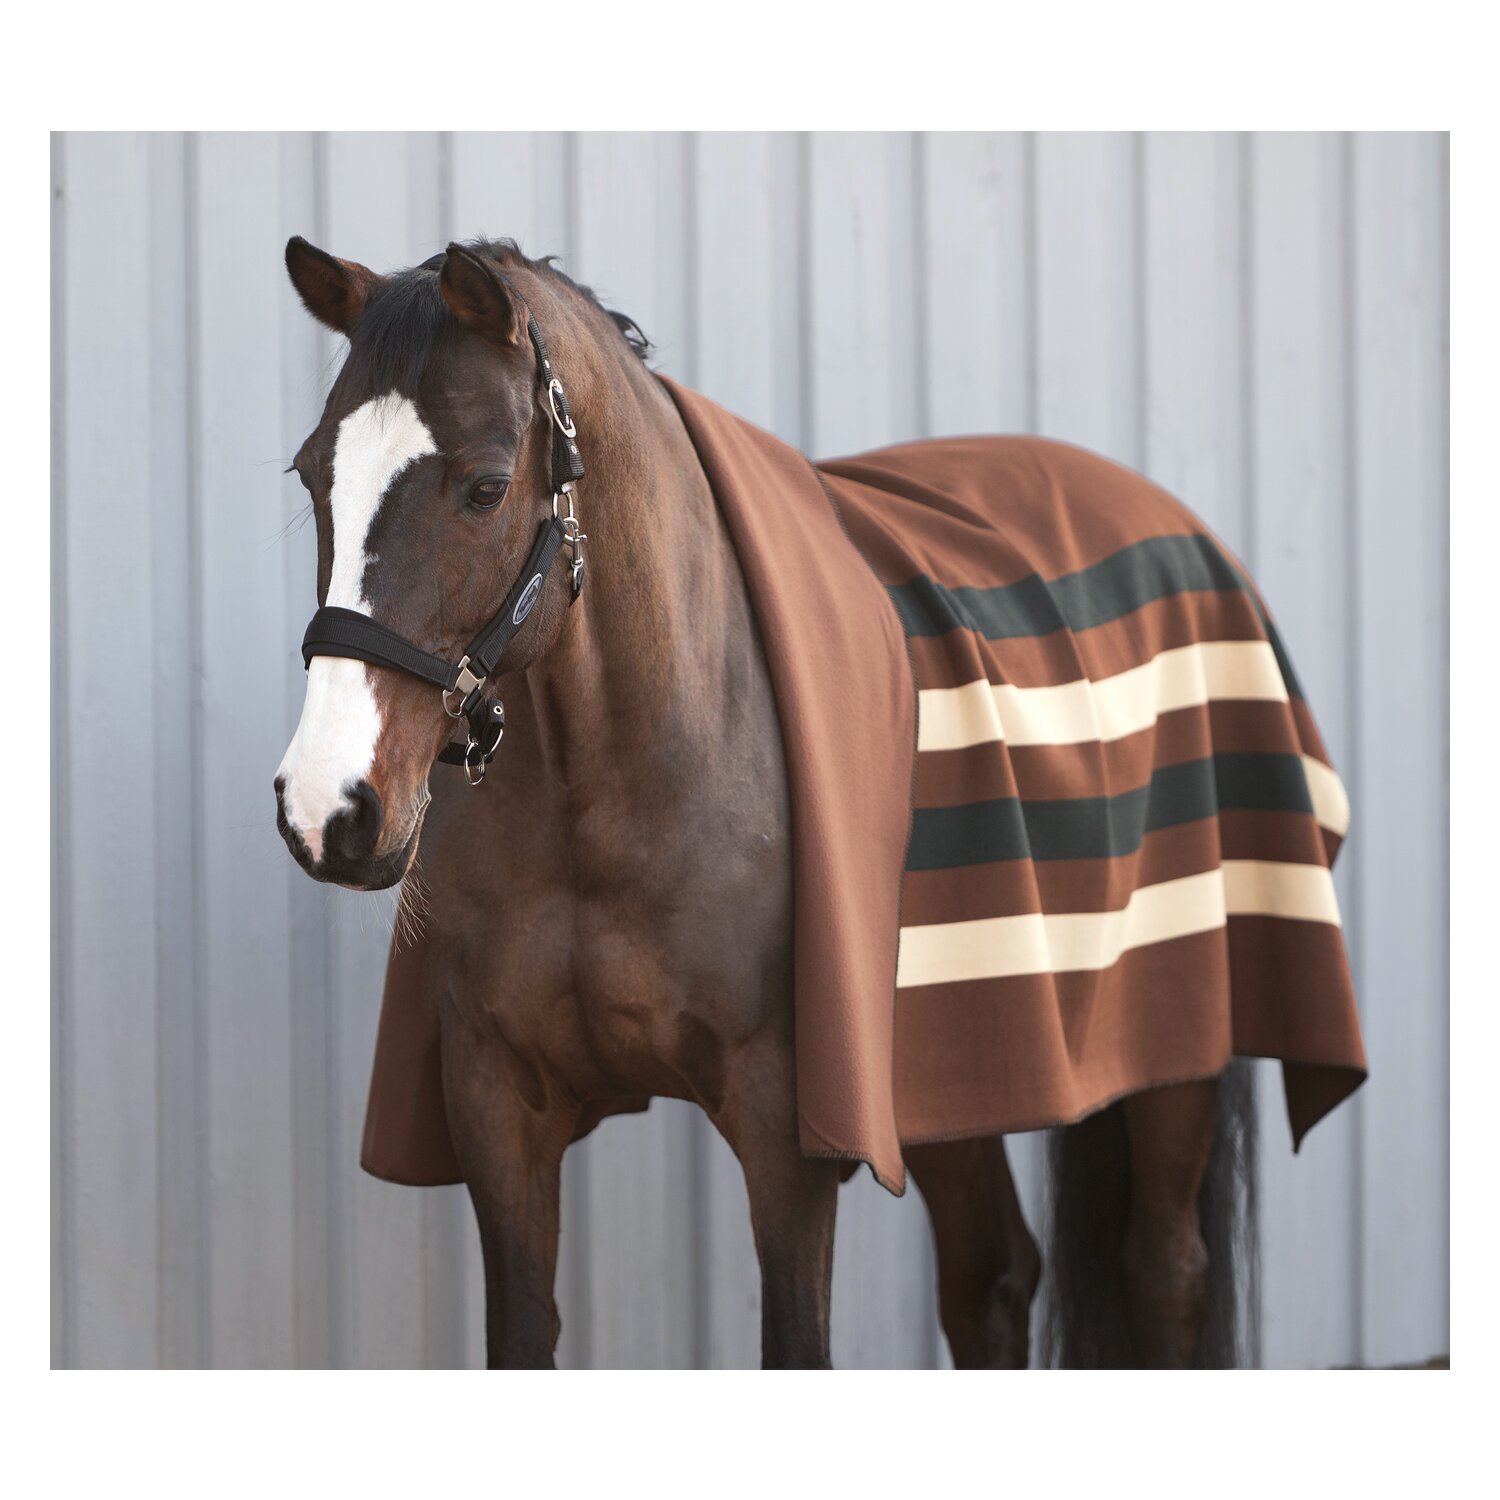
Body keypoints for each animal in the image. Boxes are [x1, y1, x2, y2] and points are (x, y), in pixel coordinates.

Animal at [273, 235, 1327, 1369]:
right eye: (313, 473)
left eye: (484, 487)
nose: (328, 807)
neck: (617, 789)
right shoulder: (499, 1110)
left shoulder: (790, 1130)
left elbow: (797, 1337)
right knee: (993, 1277)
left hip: (1174, 1058)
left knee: (1164, 1271)